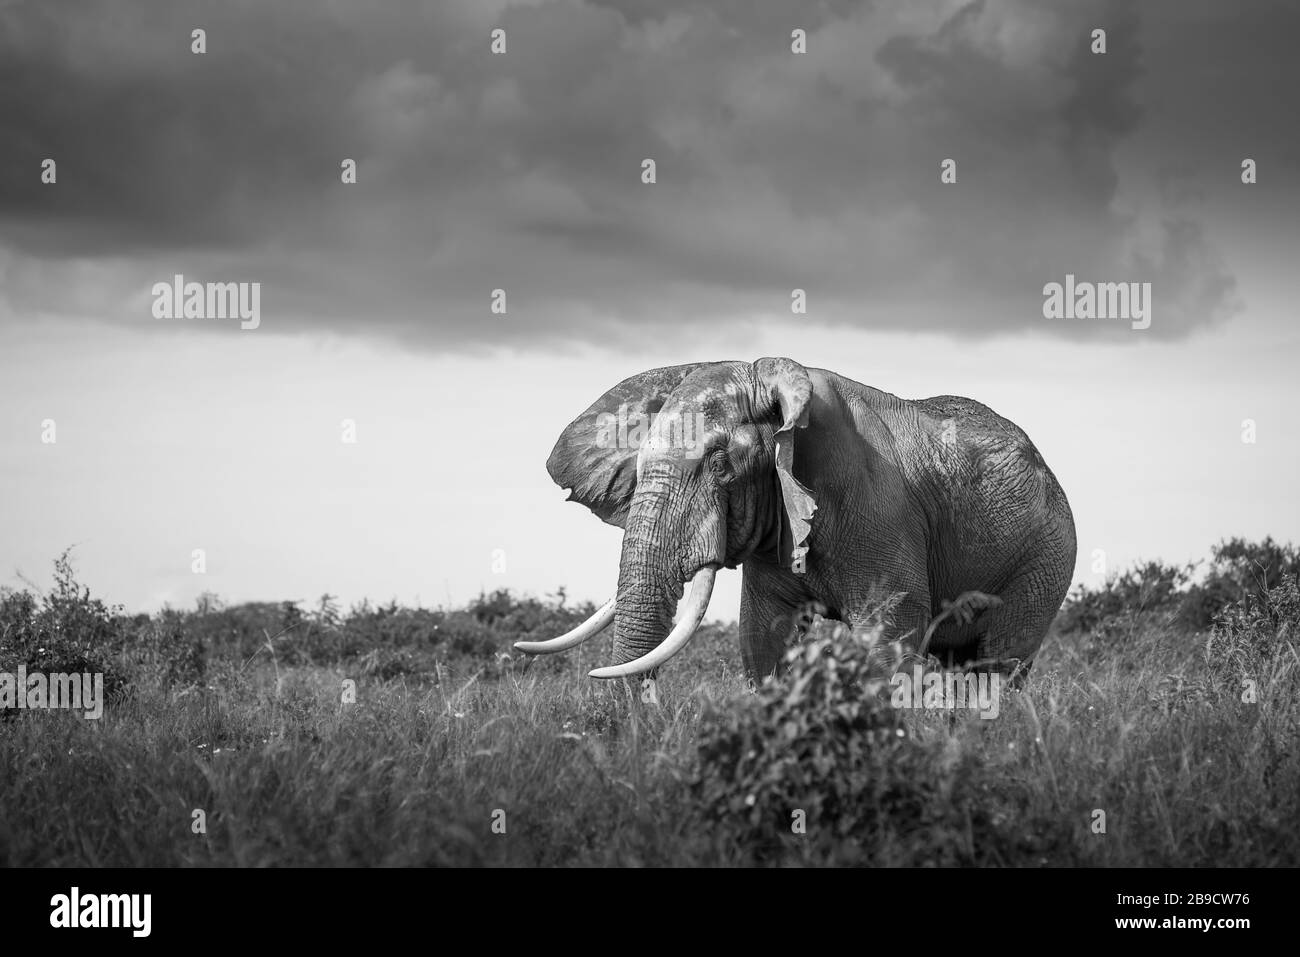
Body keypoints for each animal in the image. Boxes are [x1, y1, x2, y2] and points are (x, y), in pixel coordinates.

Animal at [517, 358, 1076, 686]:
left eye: (719, 464)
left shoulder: (876, 509)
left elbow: (886, 639)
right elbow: (763, 637)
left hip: (1044, 559)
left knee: (997, 666)